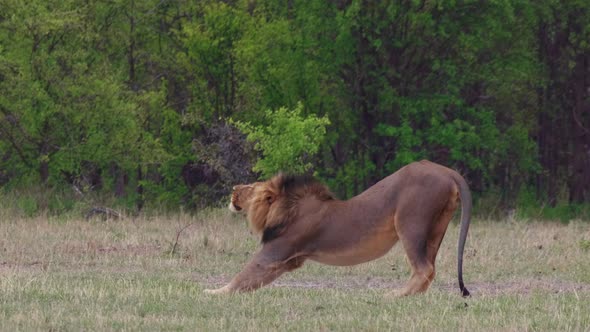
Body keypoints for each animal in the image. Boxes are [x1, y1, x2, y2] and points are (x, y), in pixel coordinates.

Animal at [206, 160, 474, 296]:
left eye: (251, 188)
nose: (234, 188)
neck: (287, 207)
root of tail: (448, 171)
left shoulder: (275, 252)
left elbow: (243, 275)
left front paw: (211, 292)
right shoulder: (287, 261)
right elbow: (252, 282)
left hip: (410, 223)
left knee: (424, 268)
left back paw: (393, 296)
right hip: (436, 228)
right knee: (430, 269)